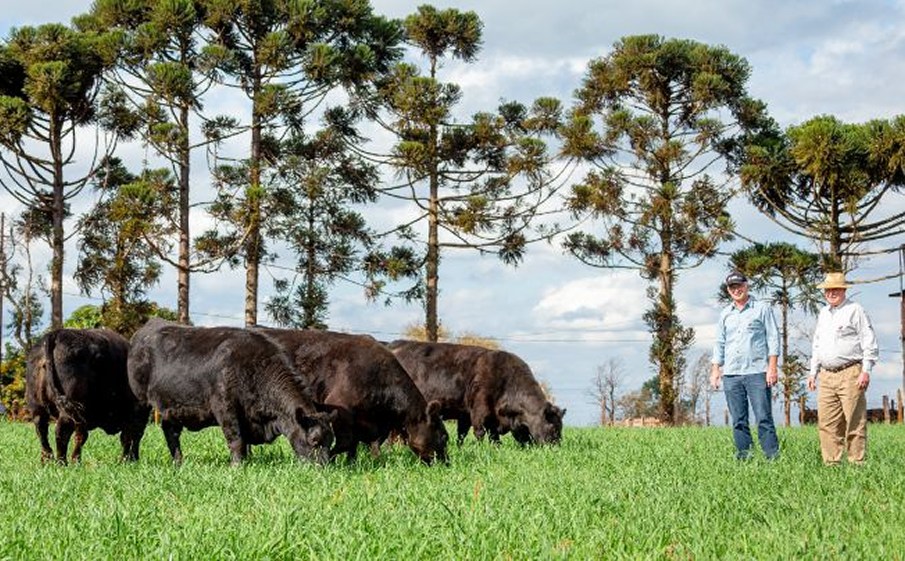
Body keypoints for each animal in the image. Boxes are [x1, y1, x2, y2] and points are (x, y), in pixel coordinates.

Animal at [25, 328, 147, 464]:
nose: (135, 459)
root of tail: (57, 333)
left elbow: (81, 437)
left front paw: (76, 460)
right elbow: (130, 437)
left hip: (38, 407)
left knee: (41, 430)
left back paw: (47, 459)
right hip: (68, 410)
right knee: (61, 431)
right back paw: (61, 462)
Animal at [128, 320, 336, 464]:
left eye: (330, 440)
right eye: (315, 440)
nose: (325, 467)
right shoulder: (225, 408)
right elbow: (236, 440)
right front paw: (237, 466)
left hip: (172, 406)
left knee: (170, 432)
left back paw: (178, 462)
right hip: (140, 401)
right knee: (137, 430)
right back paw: (132, 459)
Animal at [258, 328, 448, 464]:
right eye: (444, 437)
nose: (447, 464)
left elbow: (354, 445)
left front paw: (352, 463)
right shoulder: (340, 408)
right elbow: (345, 442)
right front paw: (332, 459)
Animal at [386, 340, 564, 444]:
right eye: (553, 428)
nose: (556, 447)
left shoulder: (468, 414)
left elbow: (470, 436)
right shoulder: (479, 410)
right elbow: (479, 433)